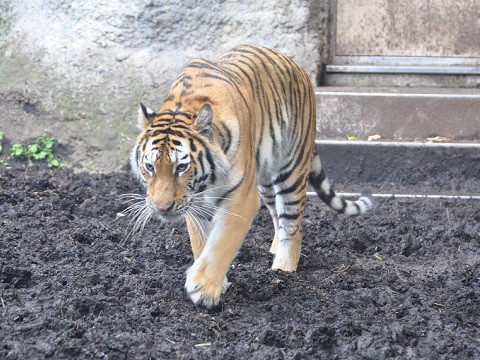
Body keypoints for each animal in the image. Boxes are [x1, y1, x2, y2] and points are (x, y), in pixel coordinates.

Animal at [128, 45, 372, 308]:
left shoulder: (241, 198)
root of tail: (296, 66)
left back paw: (283, 268)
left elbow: (222, 243)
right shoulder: (194, 204)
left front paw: (203, 287)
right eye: (150, 167)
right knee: (277, 215)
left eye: (181, 167)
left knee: (292, 224)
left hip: (292, 169)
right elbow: (201, 243)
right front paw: (213, 281)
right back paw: (275, 248)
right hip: (265, 180)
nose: (161, 208)